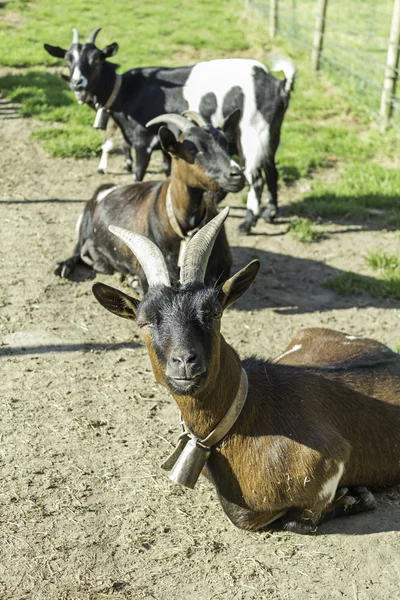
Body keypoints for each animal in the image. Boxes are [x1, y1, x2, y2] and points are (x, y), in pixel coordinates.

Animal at [43, 28, 296, 234]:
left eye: (96, 60)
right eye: (68, 59)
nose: (77, 83)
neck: (125, 91)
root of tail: (279, 84)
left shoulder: (142, 141)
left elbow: (138, 173)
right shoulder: (169, 145)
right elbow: (168, 171)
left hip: (252, 134)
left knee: (256, 179)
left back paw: (248, 223)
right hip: (270, 135)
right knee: (272, 171)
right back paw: (270, 214)